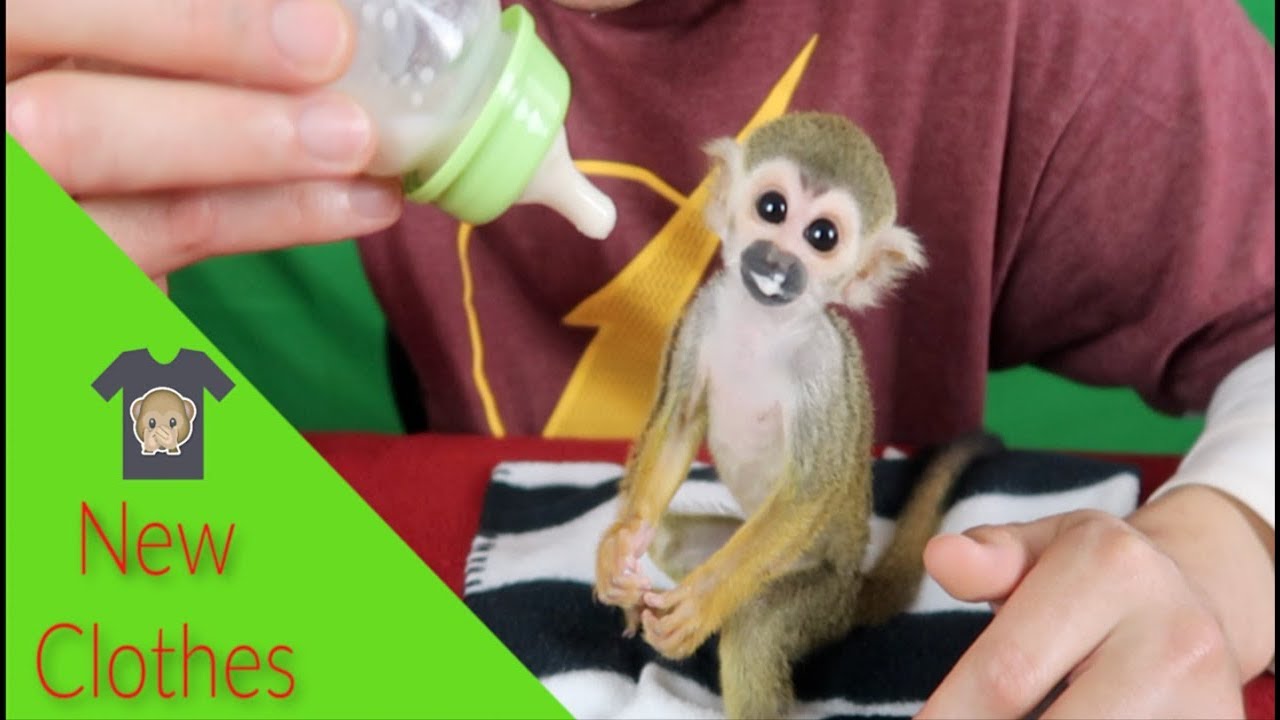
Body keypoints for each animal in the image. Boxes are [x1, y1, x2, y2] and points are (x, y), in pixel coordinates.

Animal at [593, 112, 1001, 719]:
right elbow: (678, 425)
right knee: (672, 542)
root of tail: (852, 587)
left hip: (814, 596)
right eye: (772, 209)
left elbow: (809, 490)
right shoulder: (703, 312)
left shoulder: (823, 367)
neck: (763, 327)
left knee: (756, 627)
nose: (778, 261)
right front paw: (621, 547)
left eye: (822, 237)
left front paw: (701, 607)